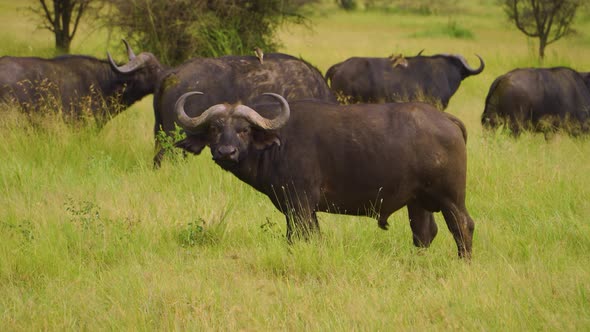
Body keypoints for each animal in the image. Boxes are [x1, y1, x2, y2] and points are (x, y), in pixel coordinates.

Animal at [175, 92, 476, 258]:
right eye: (215, 128)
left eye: (244, 130)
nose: (226, 152)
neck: (278, 144)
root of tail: (447, 120)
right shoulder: (304, 209)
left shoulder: (299, 204)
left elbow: (298, 236)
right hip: (418, 201)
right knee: (424, 233)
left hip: (450, 198)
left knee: (463, 227)